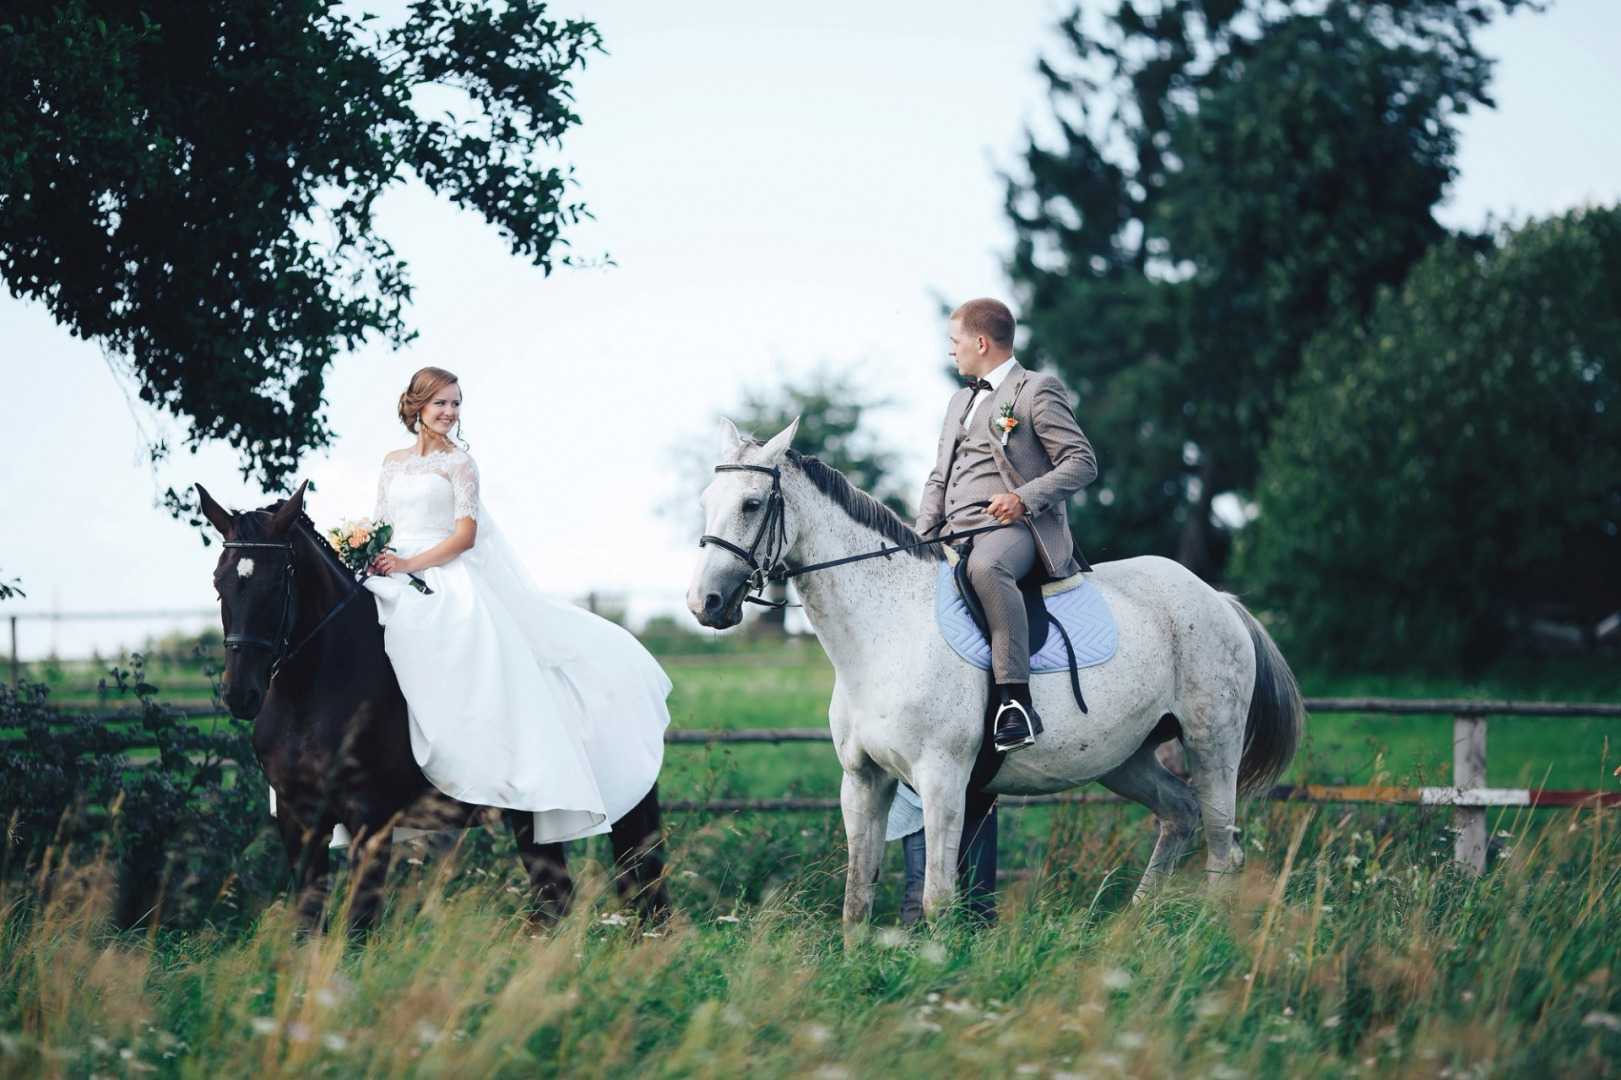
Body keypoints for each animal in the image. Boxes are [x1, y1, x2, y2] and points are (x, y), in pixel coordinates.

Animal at [197, 483, 671, 927]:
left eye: (277, 583)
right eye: (218, 584)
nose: (240, 695)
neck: (312, 695)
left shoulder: (371, 819)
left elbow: (359, 928)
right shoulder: (298, 820)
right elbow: (308, 926)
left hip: (629, 812)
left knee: (647, 899)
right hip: (534, 818)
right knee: (556, 901)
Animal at [684, 421, 1303, 927]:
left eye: (752, 503)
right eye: (706, 501)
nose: (704, 602)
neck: (885, 634)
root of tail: (1218, 599)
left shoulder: (942, 780)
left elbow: (938, 899)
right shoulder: (863, 779)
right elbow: (857, 897)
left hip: (1212, 742)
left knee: (1223, 849)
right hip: (1125, 757)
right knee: (1179, 814)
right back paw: (1132, 928)